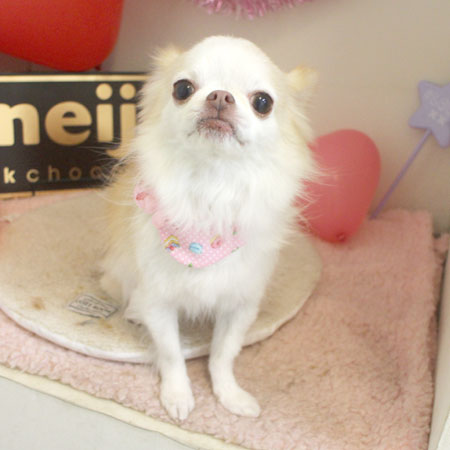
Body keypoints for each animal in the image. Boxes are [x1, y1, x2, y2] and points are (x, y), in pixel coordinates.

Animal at [100, 36, 316, 421]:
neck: (212, 189)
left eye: (263, 102)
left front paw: (229, 395)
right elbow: (171, 353)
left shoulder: (240, 305)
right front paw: (178, 395)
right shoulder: (159, 300)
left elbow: (223, 354)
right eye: (182, 89)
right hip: (121, 273)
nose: (220, 96)